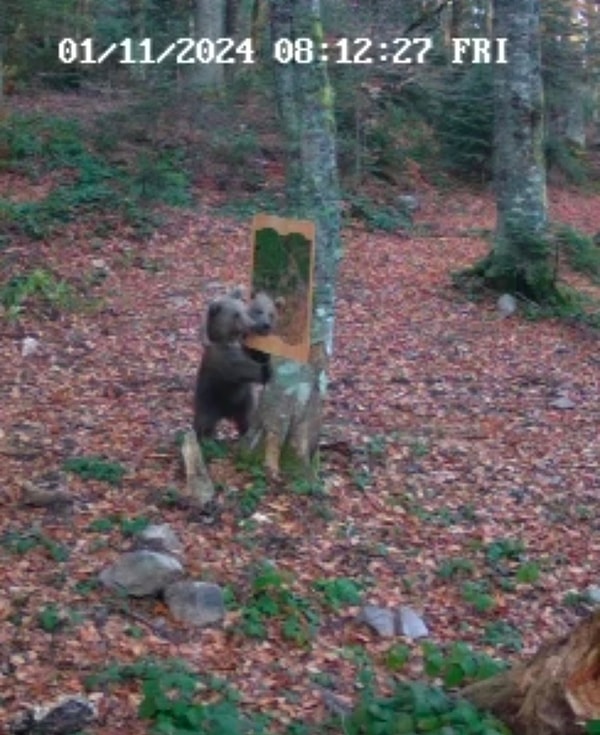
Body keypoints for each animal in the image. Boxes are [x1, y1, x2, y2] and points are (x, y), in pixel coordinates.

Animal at [193, 288, 274, 440]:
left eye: (244, 310)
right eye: (236, 314)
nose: (255, 325)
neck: (230, 340)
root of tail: (226, 414)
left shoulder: (243, 348)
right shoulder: (225, 361)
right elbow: (247, 369)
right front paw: (268, 367)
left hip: (245, 402)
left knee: (247, 419)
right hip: (209, 401)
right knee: (204, 422)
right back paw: (206, 438)